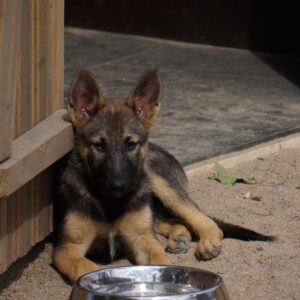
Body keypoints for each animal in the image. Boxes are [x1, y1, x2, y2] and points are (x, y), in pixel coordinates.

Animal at [53, 67, 272, 282]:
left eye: (131, 144)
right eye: (99, 146)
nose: (119, 185)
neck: (110, 203)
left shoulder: (141, 237)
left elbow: (160, 261)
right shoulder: (67, 249)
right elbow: (85, 269)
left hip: (161, 185)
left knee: (203, 220)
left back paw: (207, 241)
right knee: (171, 221)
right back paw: (179, 237)